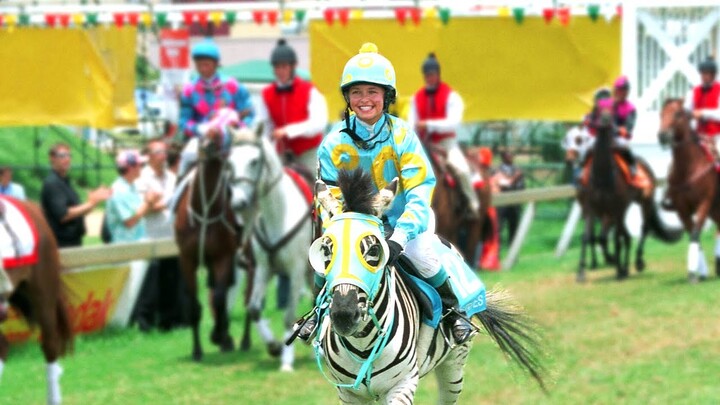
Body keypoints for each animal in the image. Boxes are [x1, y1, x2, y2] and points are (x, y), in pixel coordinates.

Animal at [174, 130, 242, 360]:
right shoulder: (187, 258)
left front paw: (219, 335)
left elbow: (220, 298)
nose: (208, 146)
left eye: (221, 134)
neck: (204, 212)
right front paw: (197, 350)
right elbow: (193, 303)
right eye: (202, 133)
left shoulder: (224, 255)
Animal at [228, 129, 312, 370]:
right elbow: (254, 308)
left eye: (254, 161)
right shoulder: (264, 269)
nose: (238, 203)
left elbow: (288, 314)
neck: (279, 213)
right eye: (230, 163)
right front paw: (273, 346)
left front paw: (286, 362)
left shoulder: (295, 271)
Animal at [660, 98, 720, 280]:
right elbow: (694, 235)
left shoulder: (704, 203)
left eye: (677, 113)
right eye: (661, 114)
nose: (662, 136)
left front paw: (693, 272)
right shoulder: (681, 208)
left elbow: (694, 233)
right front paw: (701, 272)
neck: (689, 168)